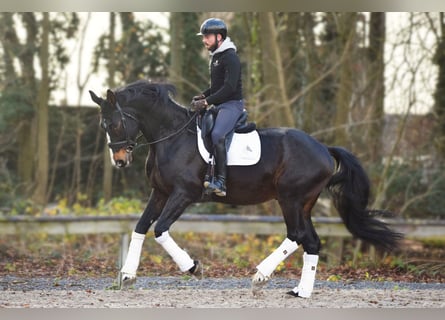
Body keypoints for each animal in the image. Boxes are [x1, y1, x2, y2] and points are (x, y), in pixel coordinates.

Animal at [89, 79, 402, 298]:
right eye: (103, 126)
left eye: (115, 124)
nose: (120, 161)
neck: (171, 136)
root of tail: (324, 148)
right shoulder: (161, 192)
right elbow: (141, 227)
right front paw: (127, 275)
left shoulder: (183, 194)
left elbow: (161, 229)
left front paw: (193, 267)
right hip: (304, 203)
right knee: (311, 241)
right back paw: (301, 292)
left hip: (290, 198)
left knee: (296, 235)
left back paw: (260, 277)